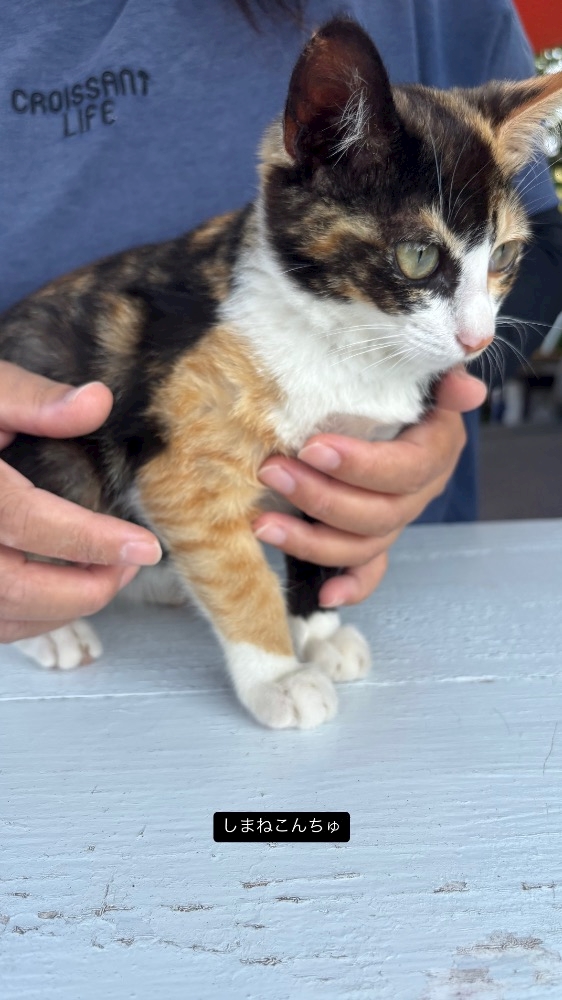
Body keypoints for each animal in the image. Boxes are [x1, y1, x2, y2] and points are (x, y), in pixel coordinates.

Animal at [1, 17, 561, 728]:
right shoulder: (184, 450)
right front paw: (277, 675)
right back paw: (55, 630)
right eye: (418, 255)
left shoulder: (339, 458)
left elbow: (320, 543)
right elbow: (234, 566)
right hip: (65, 450)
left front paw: (318, 631)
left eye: (507, 256)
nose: (477, 337)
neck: (345, 342)